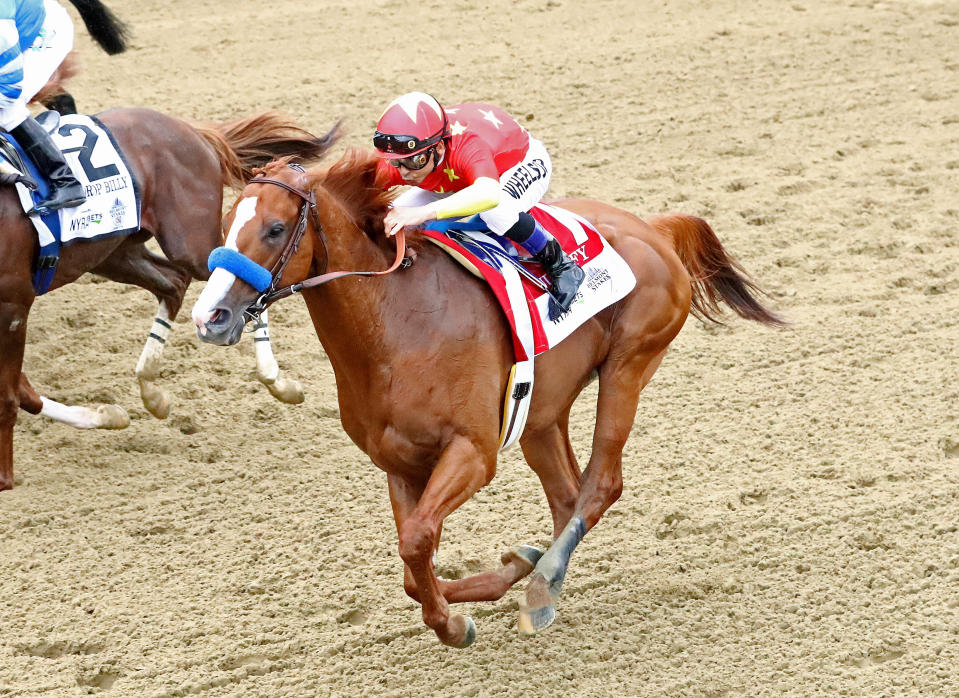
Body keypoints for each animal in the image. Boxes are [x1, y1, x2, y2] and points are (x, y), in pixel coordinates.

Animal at [0, 110, 342, 490]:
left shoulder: (14, 304)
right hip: (112, 252)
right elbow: (21, 389)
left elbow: (10, 394)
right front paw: (106, 414)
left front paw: (4, 478)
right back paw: (150, 390)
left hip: (187, 243)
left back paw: (276, 381)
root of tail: (194, 130)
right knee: (174, 283)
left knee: (238, 273)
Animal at [191, 154, 784, 648]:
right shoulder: (400, 464)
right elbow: (412, 563)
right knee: (567, 495)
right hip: (542, 413)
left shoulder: (473, 453)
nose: (210, 317)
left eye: (274, 229)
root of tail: (652, 229)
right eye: (226, 225)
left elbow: (416, 543)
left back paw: (541, 589)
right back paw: (535, 568)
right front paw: (477, 591)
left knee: (601, 484)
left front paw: (453, 625)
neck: (396, 326)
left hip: (629, 367)